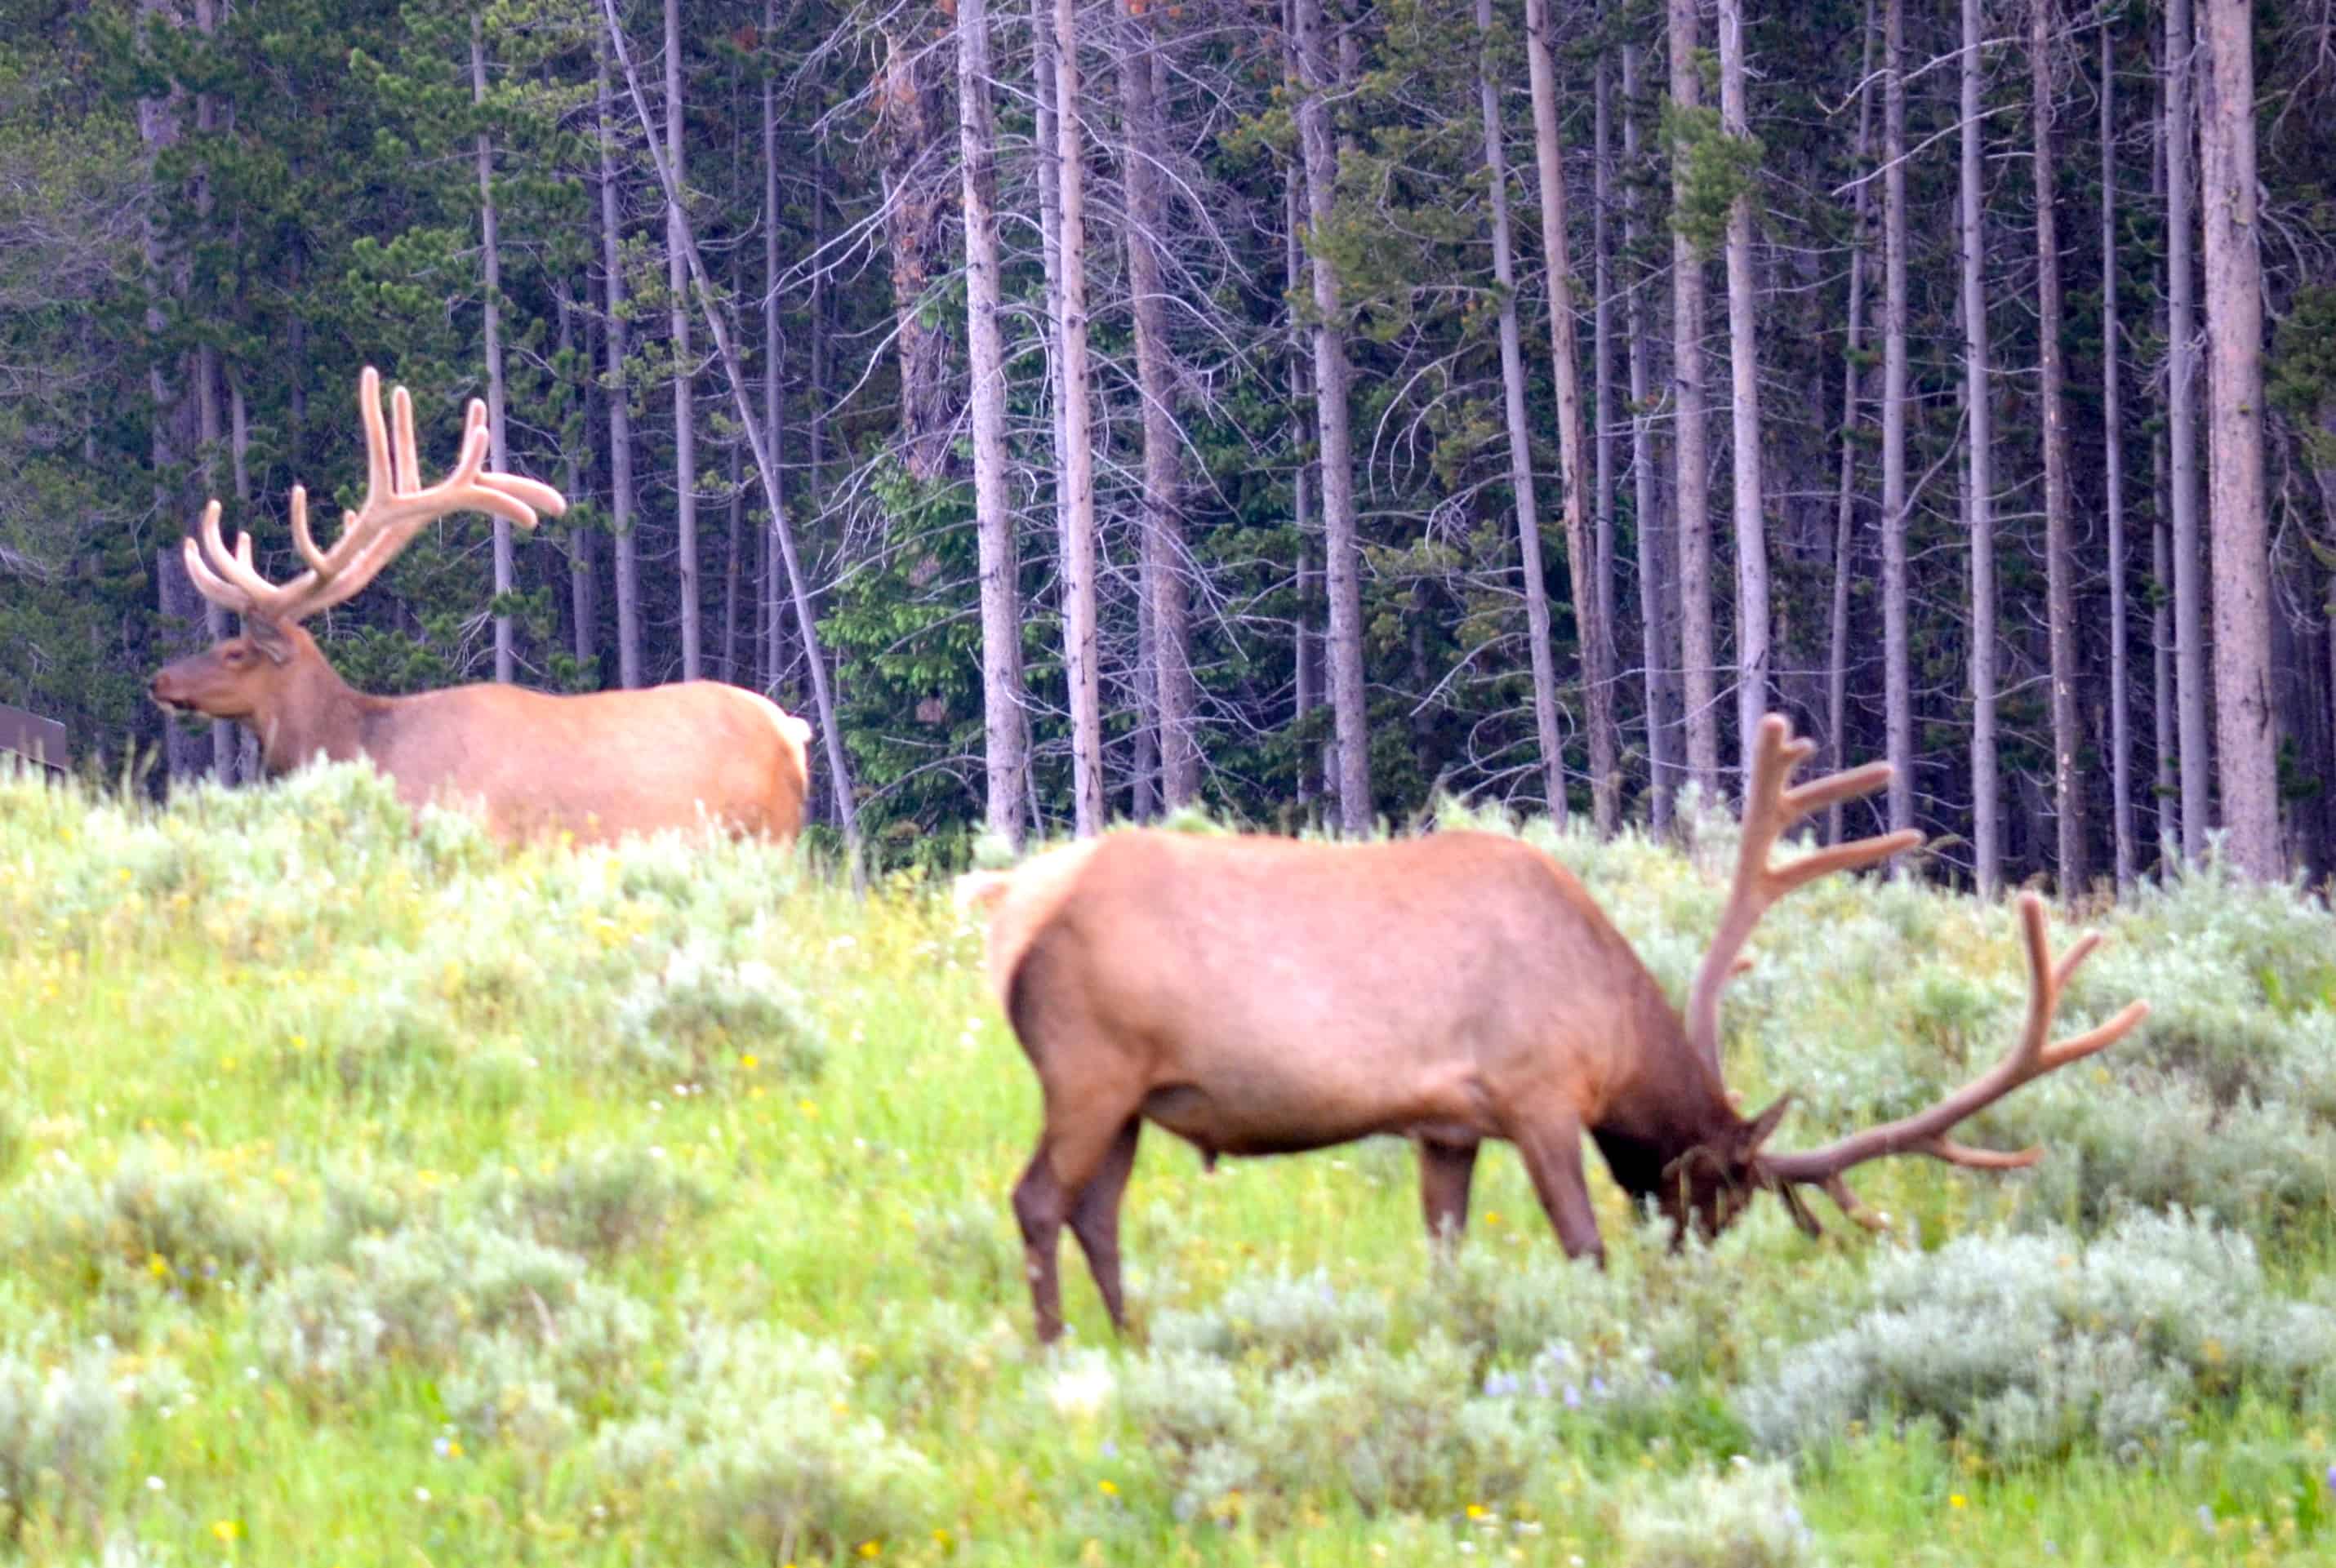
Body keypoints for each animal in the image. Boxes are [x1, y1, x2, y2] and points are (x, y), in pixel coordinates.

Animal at [957, 714, 2150, 1343]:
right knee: (1036, 1198)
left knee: (1096, 1210)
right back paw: (1056, 1348)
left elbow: (1444, 1247)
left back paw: (1130, 1339)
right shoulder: (1533, 1095)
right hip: (1088, 1068)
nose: (1690, 1275)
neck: (1611, 1026)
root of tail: (1008, 909)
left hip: (1132, 1095)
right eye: (1722, 1190)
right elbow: (1579, 1243)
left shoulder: (1442, 1124)